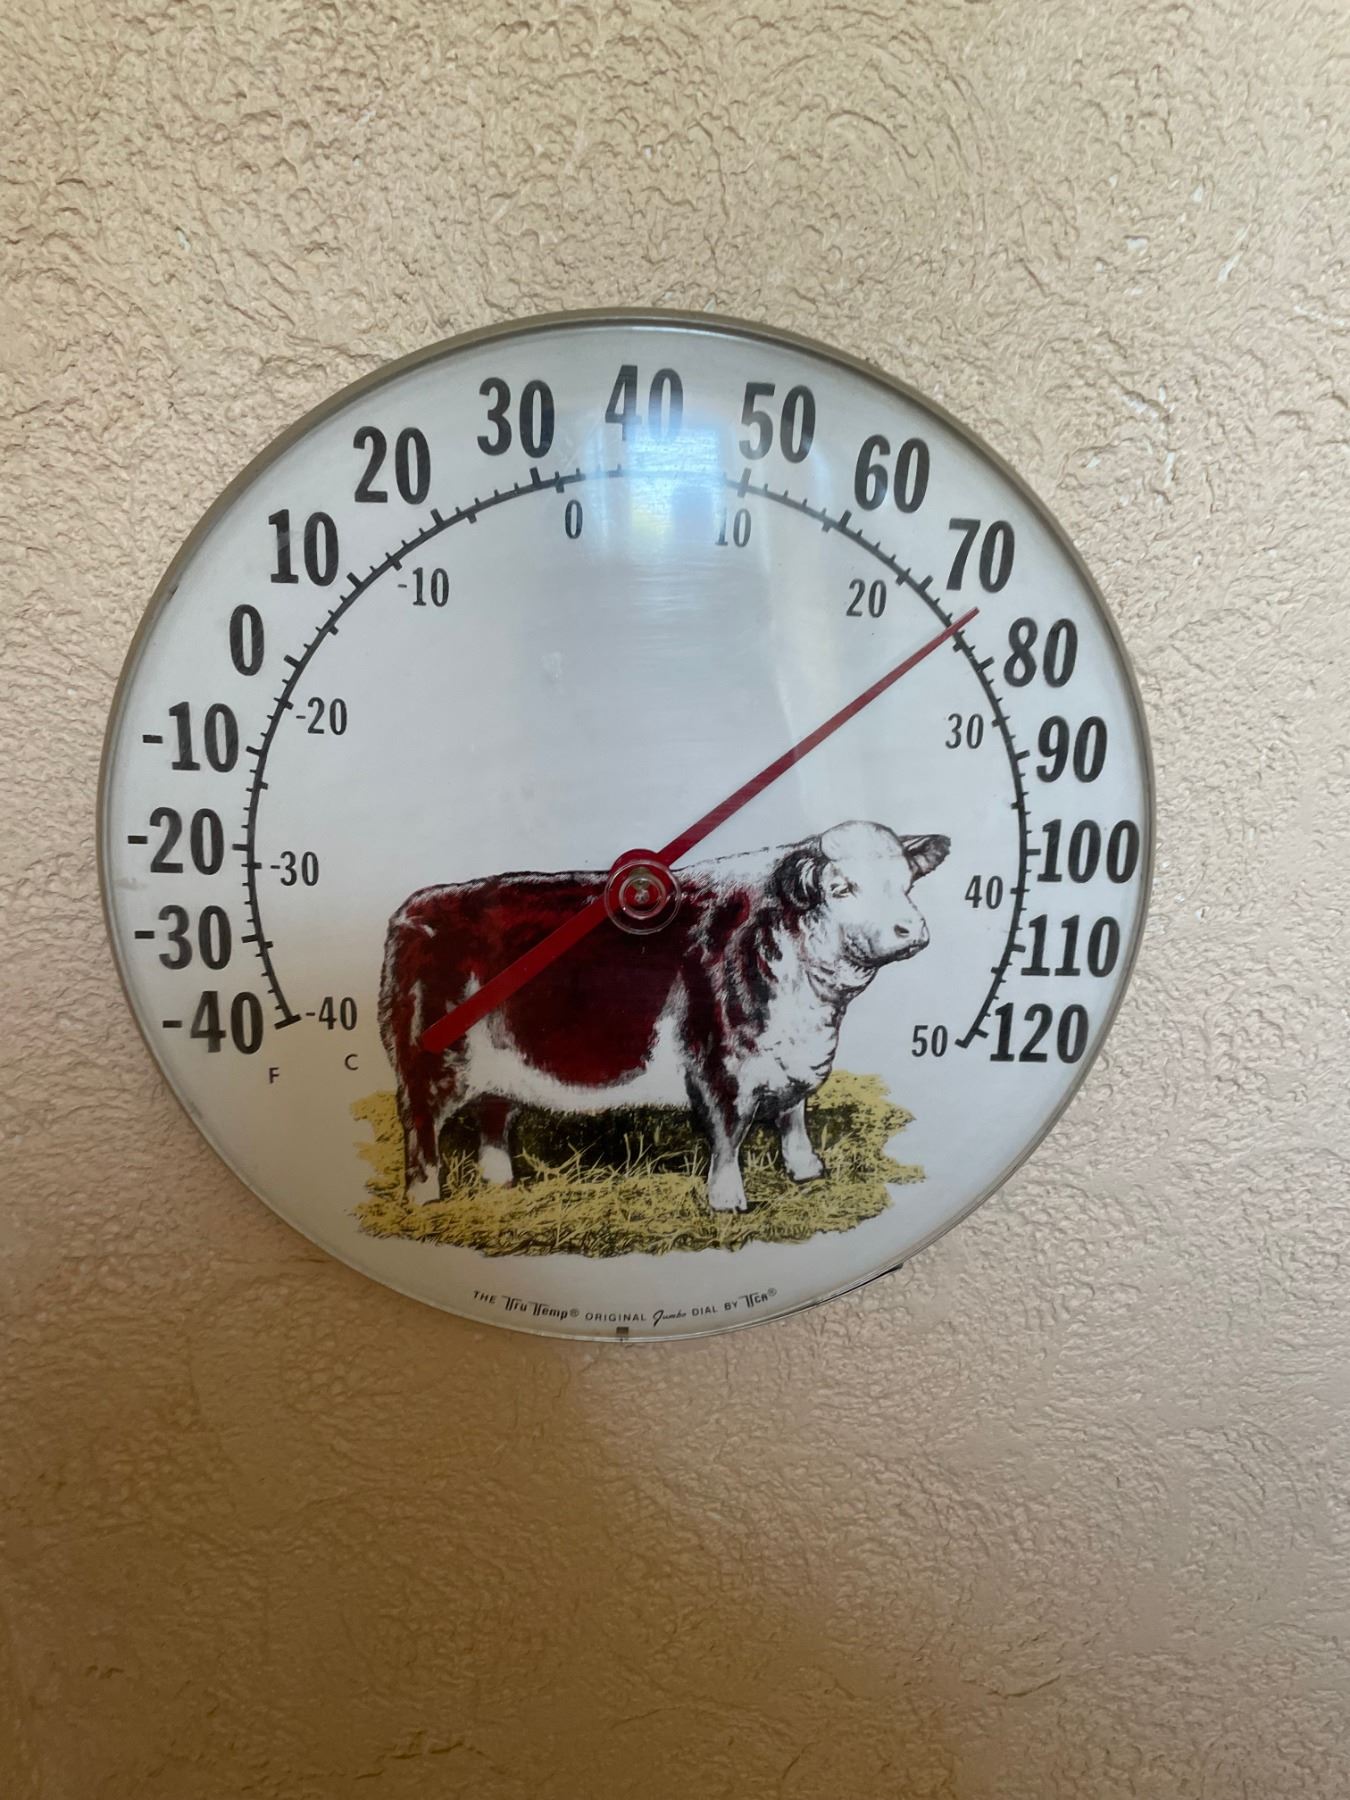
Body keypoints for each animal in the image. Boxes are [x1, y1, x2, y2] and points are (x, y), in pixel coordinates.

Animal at [379, 821, 949, 1215]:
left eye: (906, 882)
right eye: (842, 888)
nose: (911, 929)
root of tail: (414, 910)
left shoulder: (793, 1062)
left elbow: (794, 1119)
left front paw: (807, 1171)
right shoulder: (719, 1067)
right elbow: (728, 1135)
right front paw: (728, 1202)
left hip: (502, 1065)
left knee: (494, 1118)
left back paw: (500, 1182)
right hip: (430, 1065)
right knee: (421, 1128)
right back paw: (425, 1197)